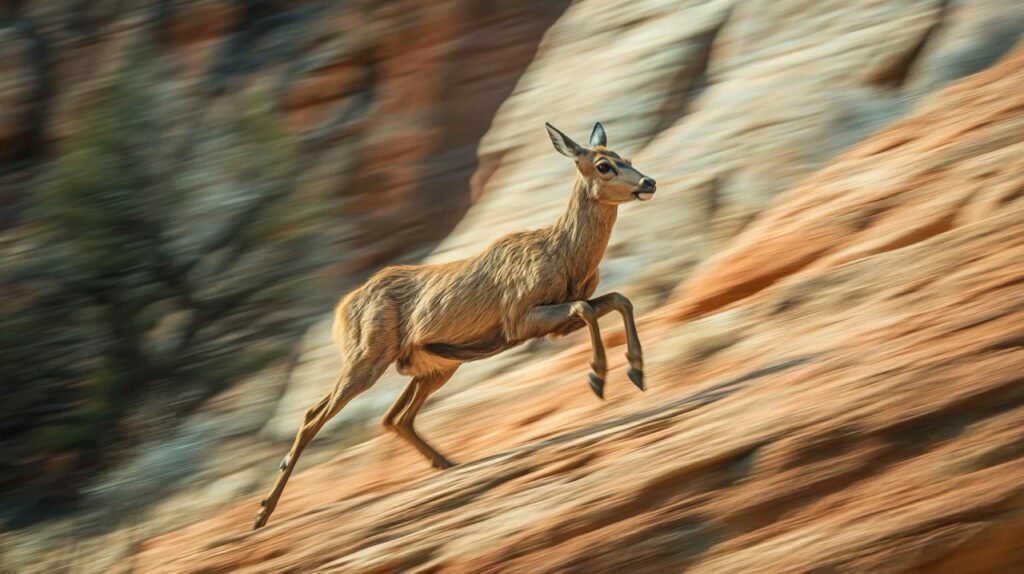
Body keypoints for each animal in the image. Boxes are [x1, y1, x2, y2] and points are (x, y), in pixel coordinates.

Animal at [252, 121, 659, 527]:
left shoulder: (554, 320)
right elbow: (587, 309)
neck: (564, 254)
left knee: (393, 417)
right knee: (315, 415)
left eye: (627, 158)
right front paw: (597, 378)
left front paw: (636, 373)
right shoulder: (519, 316)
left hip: (434, 365)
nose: (649, 182)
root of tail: (342, 310)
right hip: (369, 355)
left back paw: (447, 463)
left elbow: (617, 300)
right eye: (604, 165)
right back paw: (263, 512)